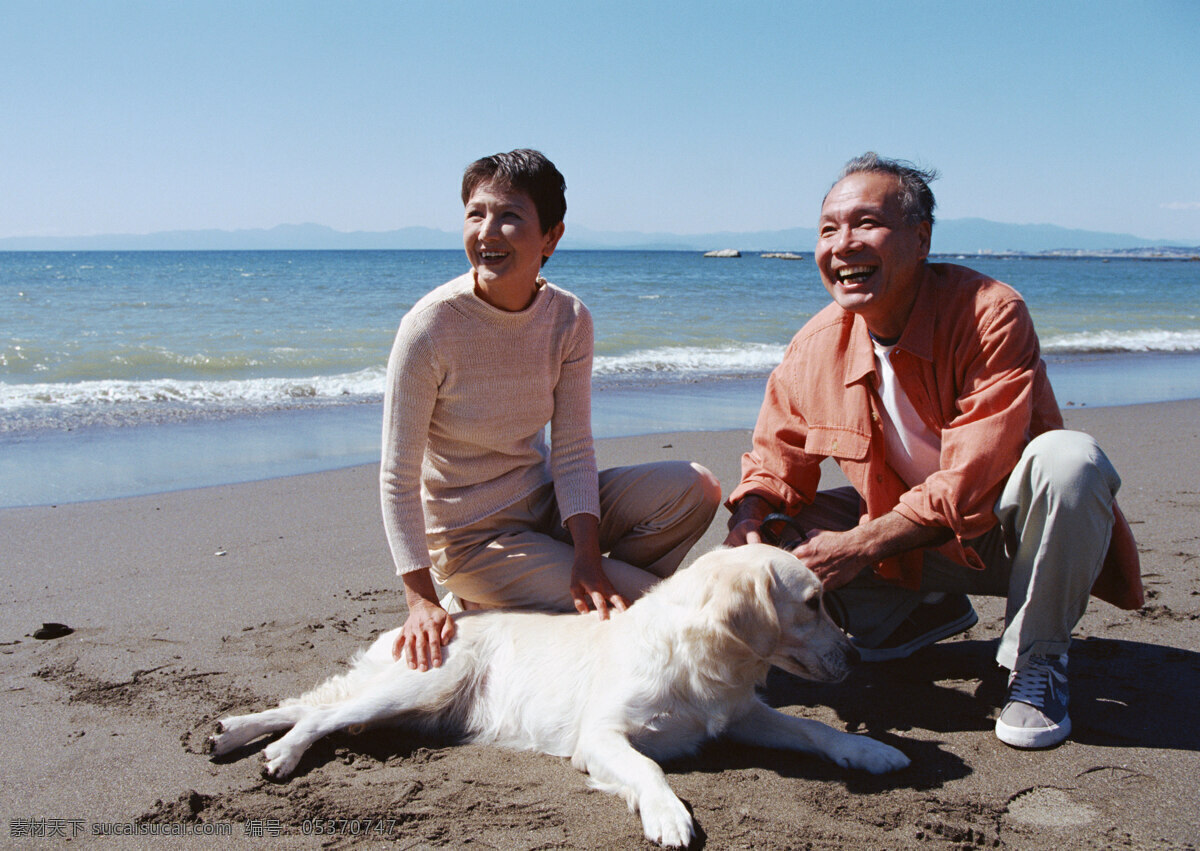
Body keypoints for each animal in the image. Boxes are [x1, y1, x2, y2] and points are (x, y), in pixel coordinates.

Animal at [211, 544, 902, 844]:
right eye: (812, 603)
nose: (856, 654)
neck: (702, 661)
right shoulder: (601, 735)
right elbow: (650, 769)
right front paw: (668, 815)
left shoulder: (738, 716)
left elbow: (815, 728)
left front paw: (872, 752)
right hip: (422, 684)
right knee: (321, 713)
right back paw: (281, 753)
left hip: (412, 702)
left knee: (309, 705)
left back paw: (233, 730)